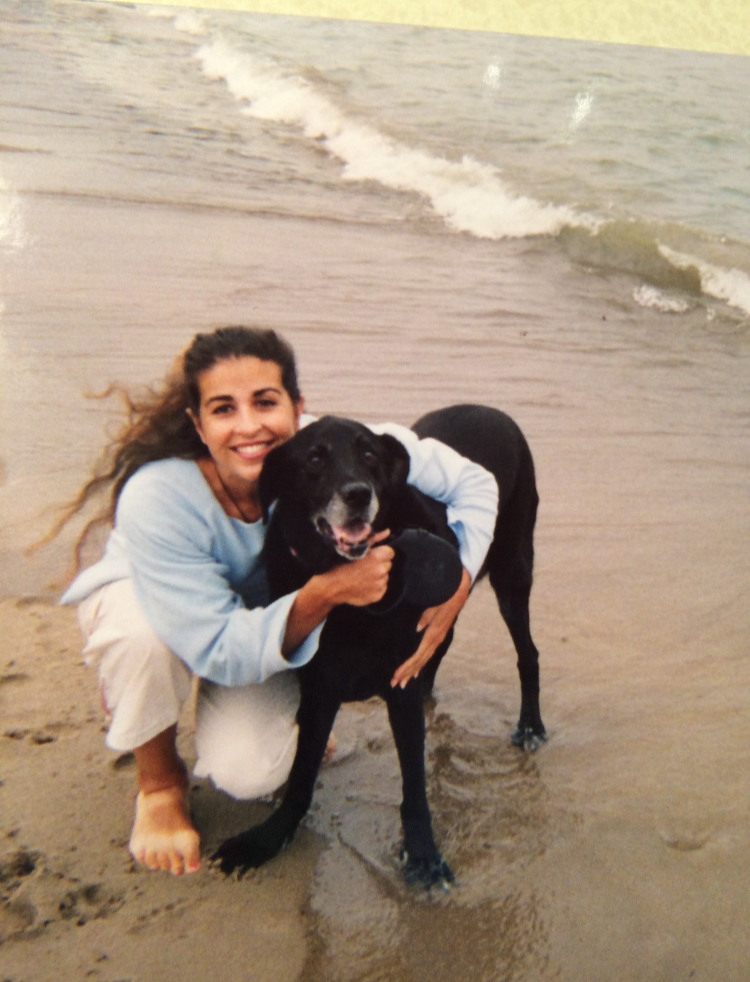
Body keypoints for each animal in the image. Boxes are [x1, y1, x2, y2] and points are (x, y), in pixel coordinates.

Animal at [213, 404, 548, 888]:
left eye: (369, 455)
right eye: (314, 459)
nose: (357, 494)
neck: (352, 594)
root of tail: (493, 411)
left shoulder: (397, 692)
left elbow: (414, 786)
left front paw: (423, 854)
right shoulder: (319, 690)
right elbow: (301, 776)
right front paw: (269, 838)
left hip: (512, 572)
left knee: (528, 654)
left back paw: (530, 726)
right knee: (442, 642)